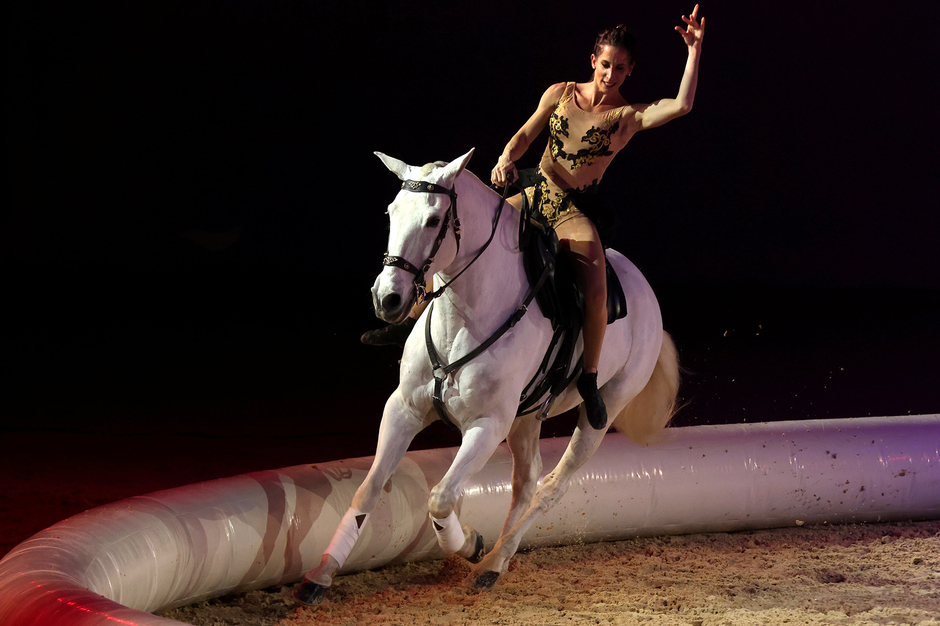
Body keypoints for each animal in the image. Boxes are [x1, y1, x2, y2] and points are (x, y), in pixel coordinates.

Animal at [294, 149, 676, 604]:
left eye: (433, 220)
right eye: (391, 212)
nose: (387, 299)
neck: (463, 315)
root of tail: (643, 288)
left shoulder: (486, 426)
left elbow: (441, 498)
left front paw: (471, 544)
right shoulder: (404, 409)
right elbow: (369, 487)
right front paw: (320, 574)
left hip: (601, 412)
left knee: (551, 486)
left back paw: (492, 561)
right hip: (526, 417)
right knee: (526, 483)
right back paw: (497, 557)